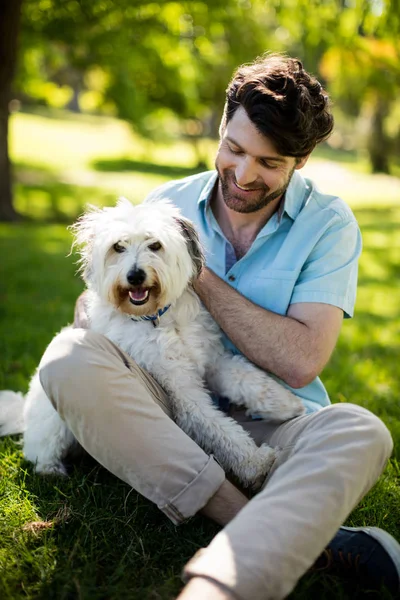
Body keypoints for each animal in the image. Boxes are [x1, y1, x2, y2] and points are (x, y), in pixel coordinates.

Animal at [0, 199, 304, 490]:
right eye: (118, 247)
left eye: (155, 245)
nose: (135, 276)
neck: (158, 318)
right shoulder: (182, 390)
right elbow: (219, 428)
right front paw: (256, 463)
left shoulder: (212, 361)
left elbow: (245, 378)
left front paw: (285, 404)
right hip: (53, 424)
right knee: (40, 451)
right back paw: (52, 470)